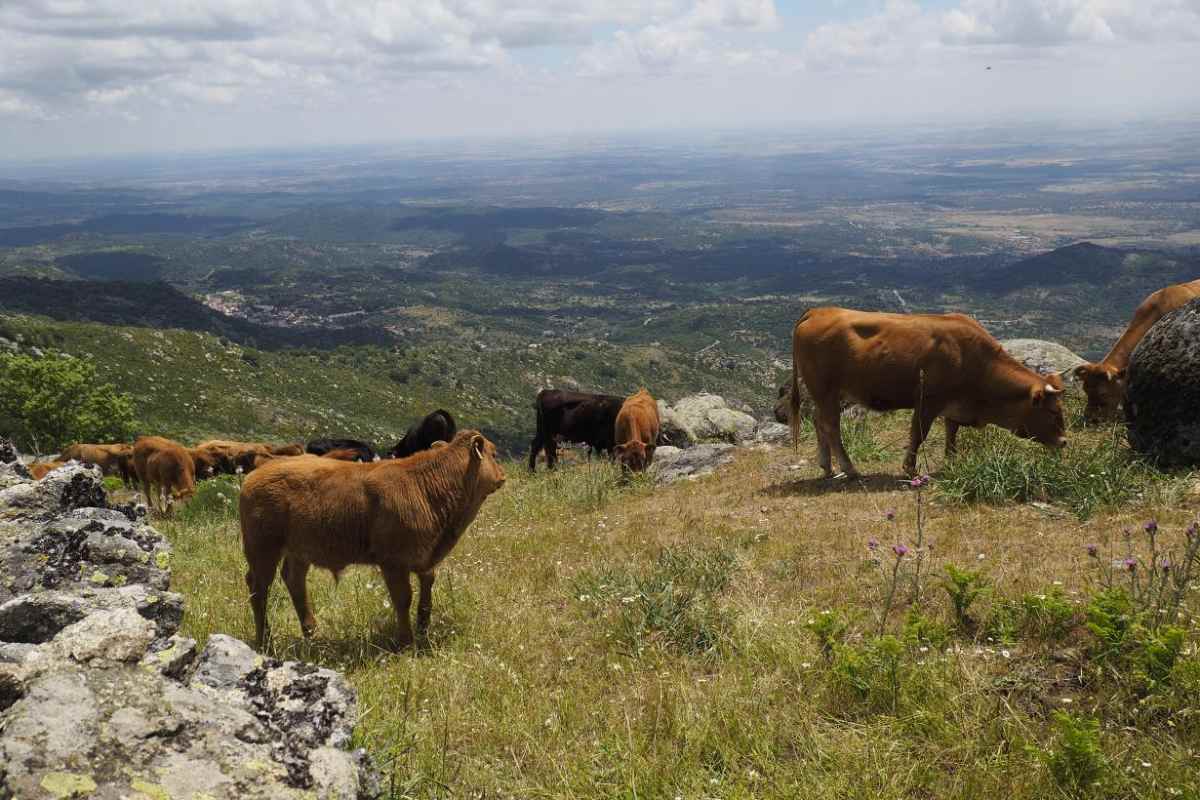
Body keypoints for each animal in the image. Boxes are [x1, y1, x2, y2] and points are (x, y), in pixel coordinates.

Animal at [238, 431, 506, 652]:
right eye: (494, 454)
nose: (503, 475)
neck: (426, 486)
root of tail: (263, 468)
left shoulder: (425, 556)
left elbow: (427, 587)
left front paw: (423, 627)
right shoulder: (393, 562)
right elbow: (403, 599)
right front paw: (406, 642)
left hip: (299, 550)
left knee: (294, 581)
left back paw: (311, 633)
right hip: (262, 548)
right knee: (259, 589)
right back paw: (265, 641)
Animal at [787, 309, 1070, 479]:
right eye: (1053, 411)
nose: (1064, 442)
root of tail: (819, 311)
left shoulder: (954, 406)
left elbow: (952, 434)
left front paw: (952, 463)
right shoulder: (927, 401)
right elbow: (918, 434)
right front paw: (910, 469)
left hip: (826, 394)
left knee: (819, 422)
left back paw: (827, 467)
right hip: (825, 390)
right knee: (830, 426)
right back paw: (849, 468)